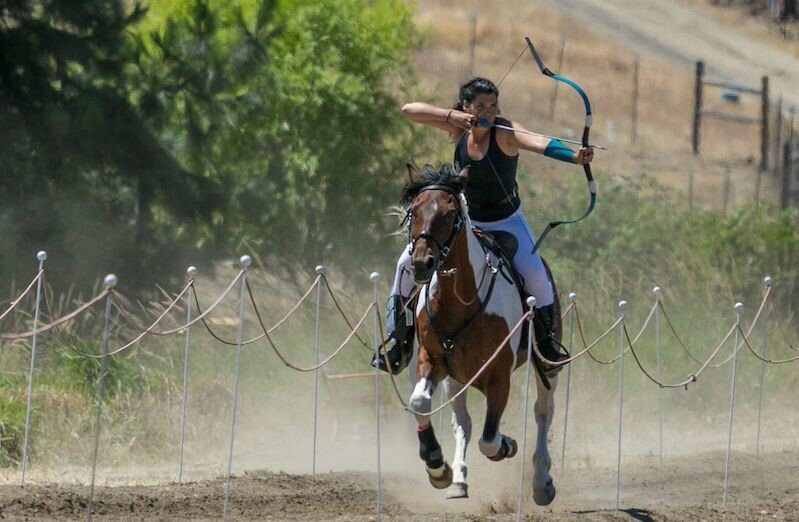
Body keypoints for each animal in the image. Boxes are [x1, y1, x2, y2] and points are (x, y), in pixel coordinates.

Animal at [404, 164, 560, 504]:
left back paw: (541, 481)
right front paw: (437, 466)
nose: (422, 263)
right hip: (456, 378)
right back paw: (459, 479)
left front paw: (508, 445)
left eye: (450, 214)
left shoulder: (499, 374)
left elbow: (490, 440)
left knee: (543, 411)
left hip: (547, 366)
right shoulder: (432, 360)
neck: (461, 300)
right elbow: (420, 403)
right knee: (463, 422)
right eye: (414, 211)